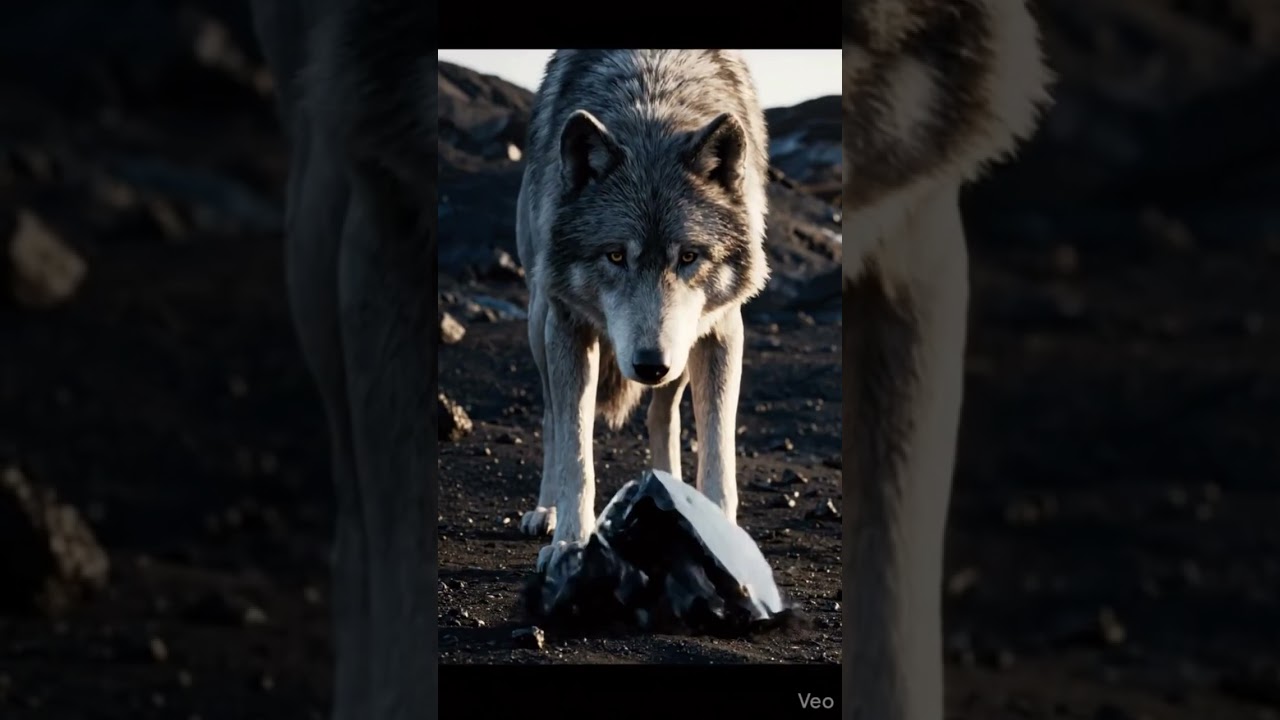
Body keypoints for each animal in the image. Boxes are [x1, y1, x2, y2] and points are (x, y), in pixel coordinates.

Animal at [514, 50, 771, 570]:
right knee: (552, 417)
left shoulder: (722, 330)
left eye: (688, 256)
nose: (650, 364)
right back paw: (545, 511)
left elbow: (718, 458)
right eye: (616, 255)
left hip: (685, 346)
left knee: (662, 417)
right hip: (539, 321)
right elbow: (576, 452)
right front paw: (571, 542)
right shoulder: (567, 323)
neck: (654, 101)